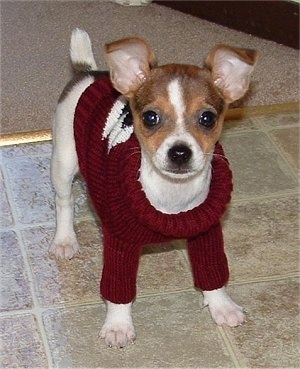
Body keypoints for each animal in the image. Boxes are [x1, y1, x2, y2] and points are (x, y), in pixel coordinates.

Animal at [50, 29, 256, 348]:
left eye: (207, 118)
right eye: (150, 117)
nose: (180, 152)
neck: (173, 196)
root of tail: (89, 73)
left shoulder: (207, 234)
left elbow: (212, 272)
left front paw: (222, 306)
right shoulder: (120, 242)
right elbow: (118, 289)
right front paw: (118, 325)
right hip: (63, 162)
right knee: (64, 202)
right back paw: (65, 239)